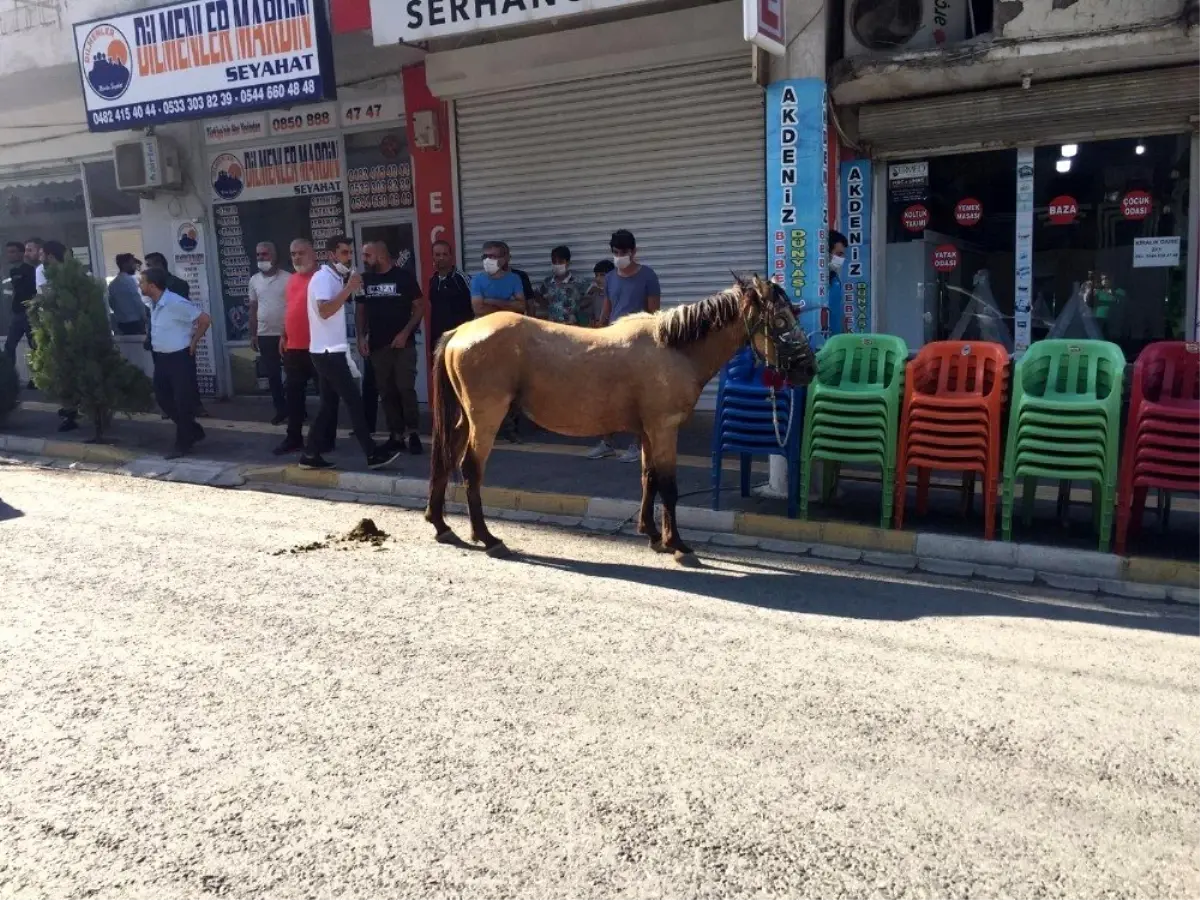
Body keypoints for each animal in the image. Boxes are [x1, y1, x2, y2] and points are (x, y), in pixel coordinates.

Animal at [422, 274, 816, 564]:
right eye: (781, 319)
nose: (808, 369)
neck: (672, 348)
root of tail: (460, 332)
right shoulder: (664, 428)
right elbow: (668, 486)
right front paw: (677, 544)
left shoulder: (648, 432)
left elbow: (648, 479)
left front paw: (652, 534)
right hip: (485, 419)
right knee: (471, 468)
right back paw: (486, 537)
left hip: (464, 419)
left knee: (445, 459)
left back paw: (441, 525)